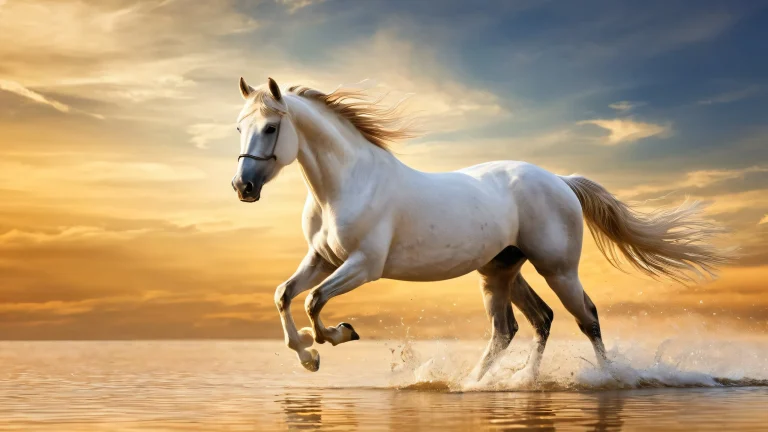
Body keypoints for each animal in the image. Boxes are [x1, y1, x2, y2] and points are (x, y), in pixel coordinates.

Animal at [231, 77, 729, 383]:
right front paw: (309, 356)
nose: (243, 186)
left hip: (557, 269)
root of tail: (560, 180)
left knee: (584, 317)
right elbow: (284, 295)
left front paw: (340, 335)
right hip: (501, 270)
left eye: (271, 128)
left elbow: (313, 302)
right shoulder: (322, 259)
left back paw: (604, 379)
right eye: (239, 127)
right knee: (525, 324)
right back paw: (497, 384)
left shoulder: (363, 265)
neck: (348, 184)